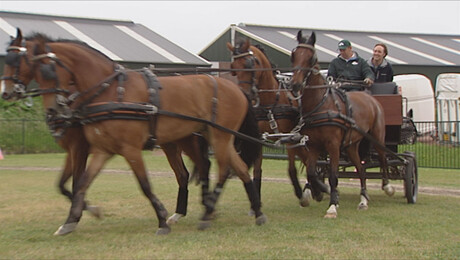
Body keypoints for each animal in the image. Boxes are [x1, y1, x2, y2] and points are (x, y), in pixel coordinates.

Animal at [0, 29, 266, 236]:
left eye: (48, 71)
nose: (7, 92)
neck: (108, 92)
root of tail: (234, 88)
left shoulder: (124, 149)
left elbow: (143, 185)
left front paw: (161, 220)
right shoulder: (101, 150)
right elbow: (81, 184)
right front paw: (71, 221)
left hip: (216, 137)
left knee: (221, 169)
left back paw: (208, 212)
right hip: (210, 138)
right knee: (236, 169)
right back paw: (253, 212)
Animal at [226, 38, 316, 206]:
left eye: (249, 64)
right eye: (233, 67)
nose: (244, 94)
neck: (270, 102)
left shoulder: (288, 136)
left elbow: (291, 168)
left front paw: (301, 194)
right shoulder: (258, 137)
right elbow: (257, 170)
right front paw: (256, 198)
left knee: (310, 160)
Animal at [290, 30, 394, 217]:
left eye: (311, 58)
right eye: (293, 55)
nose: (295, 84)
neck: (321, 104)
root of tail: (370, 97)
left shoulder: (332, 145)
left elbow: (333, 176)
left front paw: (332, 206)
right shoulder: (313, 146)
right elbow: (311, 172)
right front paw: (318, 193)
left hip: (377, 137)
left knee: (383, 158)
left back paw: (387, 187)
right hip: (351, 145)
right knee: (361, 169)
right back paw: (363, 200)